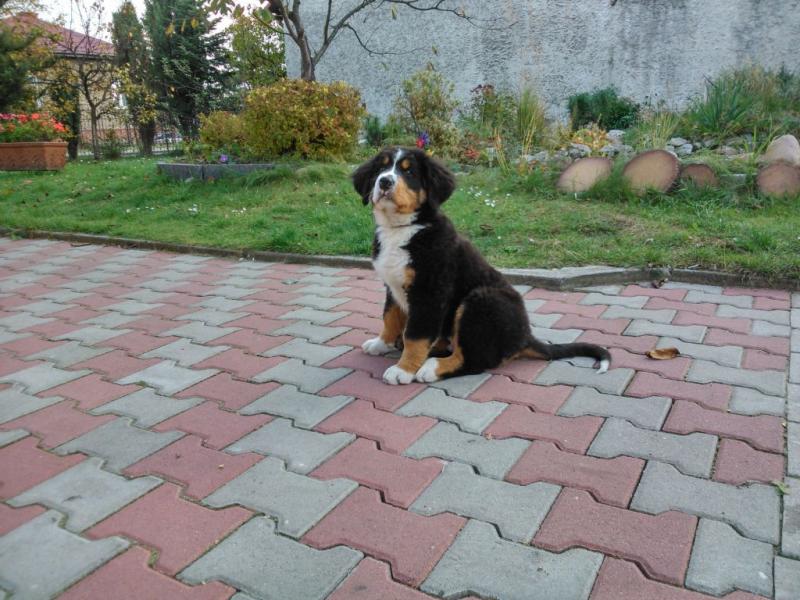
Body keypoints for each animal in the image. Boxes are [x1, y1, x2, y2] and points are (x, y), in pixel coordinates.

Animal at [352, 147, 611, 385]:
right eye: (381, 168)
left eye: (409, 172)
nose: (385, 181)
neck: (402, 229)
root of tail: (525, 337)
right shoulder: (393, 285)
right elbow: (390, 316)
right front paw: (381, 343)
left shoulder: (429, 292)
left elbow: (415, 335)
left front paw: (403, 370)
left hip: (481, 301)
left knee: (475, 359)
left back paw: (432, 367)